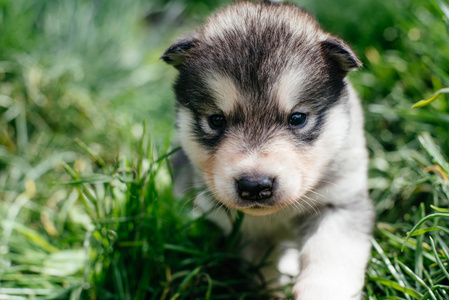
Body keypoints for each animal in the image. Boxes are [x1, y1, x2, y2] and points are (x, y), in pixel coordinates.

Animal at [163, 1, 372, 298]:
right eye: (216, 120)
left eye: (297, 118)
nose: (254, 186)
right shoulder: (244, 230)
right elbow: (262, 269)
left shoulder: (339, 201)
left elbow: (329, 257)